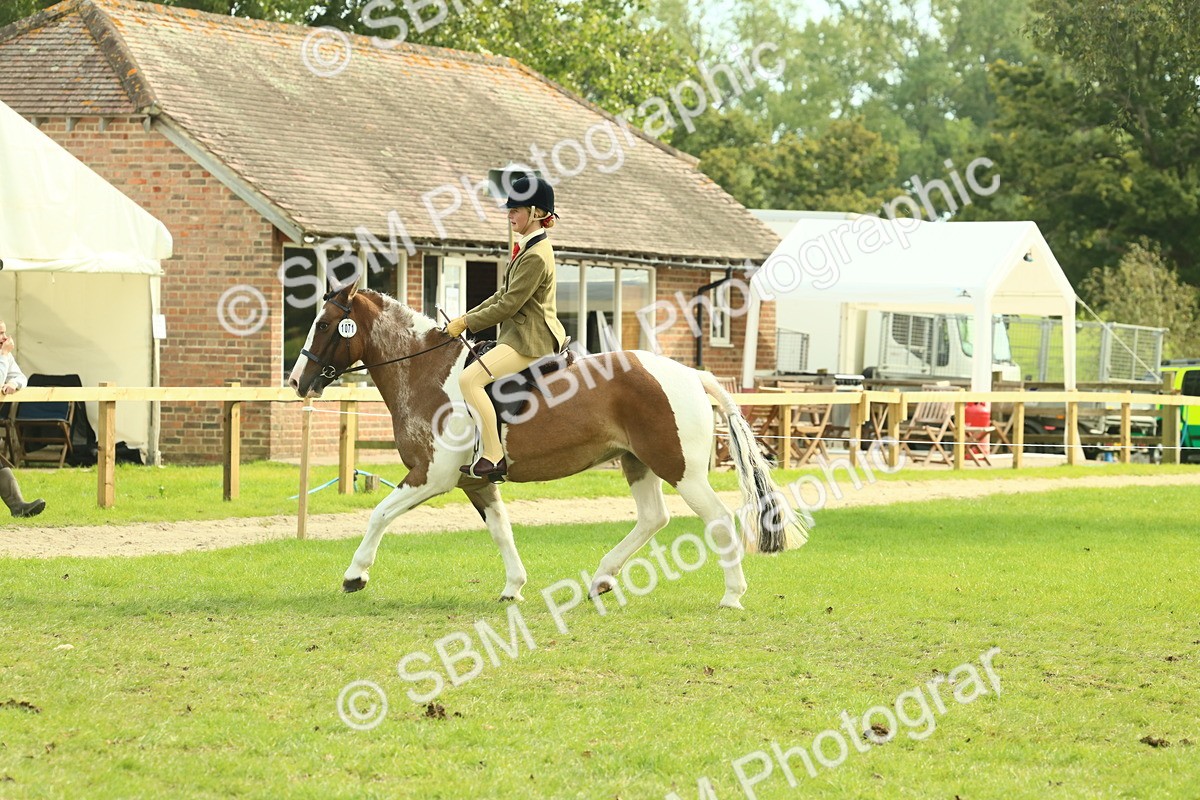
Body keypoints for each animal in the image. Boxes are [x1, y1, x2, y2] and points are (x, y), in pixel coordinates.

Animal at [287, 285, 809, 609]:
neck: (425, 371)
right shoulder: (474, 481)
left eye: (326, 324)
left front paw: (355, 576)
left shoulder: (431, 476)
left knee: (717, 519)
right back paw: (601, 579)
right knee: (653, 518)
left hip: (680, 468)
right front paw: (513, 587)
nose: (297, 381)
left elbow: (379, 514)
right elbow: (501, 531)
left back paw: (732, 595)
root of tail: (690, 373)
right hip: (637, 462)